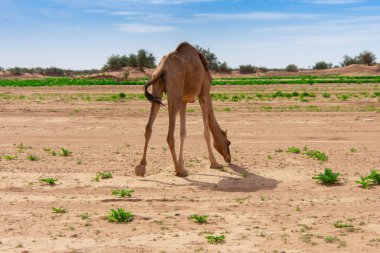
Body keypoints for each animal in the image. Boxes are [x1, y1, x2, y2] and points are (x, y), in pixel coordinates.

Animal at [137, 42, 232, 177]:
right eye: (228, 142)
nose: (229, 158)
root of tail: (163, 68)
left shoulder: (184, 100)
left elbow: (183, 132)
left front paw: (182, 164)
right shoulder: (204, 95)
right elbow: (206, 132)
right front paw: (215, 163)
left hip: (157, 87)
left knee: (149, 125)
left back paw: (141, 166)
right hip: (174, 90)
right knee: (169, 135)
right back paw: (178, 170)